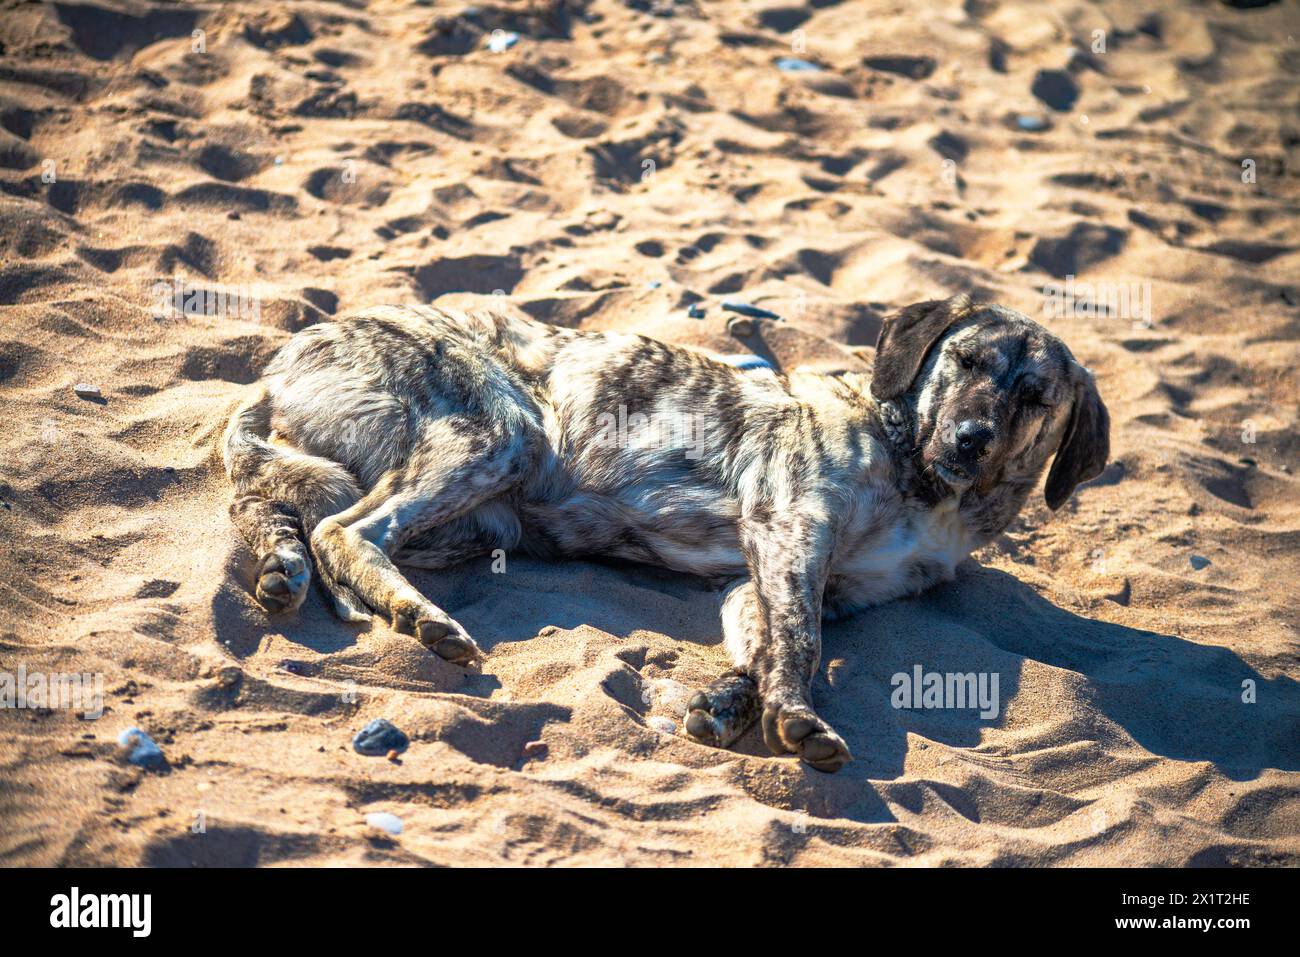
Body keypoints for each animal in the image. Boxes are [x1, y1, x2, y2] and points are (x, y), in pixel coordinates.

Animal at [220, 295, 1107, 774]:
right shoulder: (790, 526)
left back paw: (283, 569)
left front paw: (727, 705)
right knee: (346, 528)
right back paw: (421, 618)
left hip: (468, 514)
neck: (926, 481)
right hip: (501, 431)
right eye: (963, 361)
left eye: (1033, 395)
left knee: (281, 504)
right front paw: (793, 714)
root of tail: (283, 362)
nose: (969, 438)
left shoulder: (782, 577)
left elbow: (768, 645)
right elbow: (801, 644)